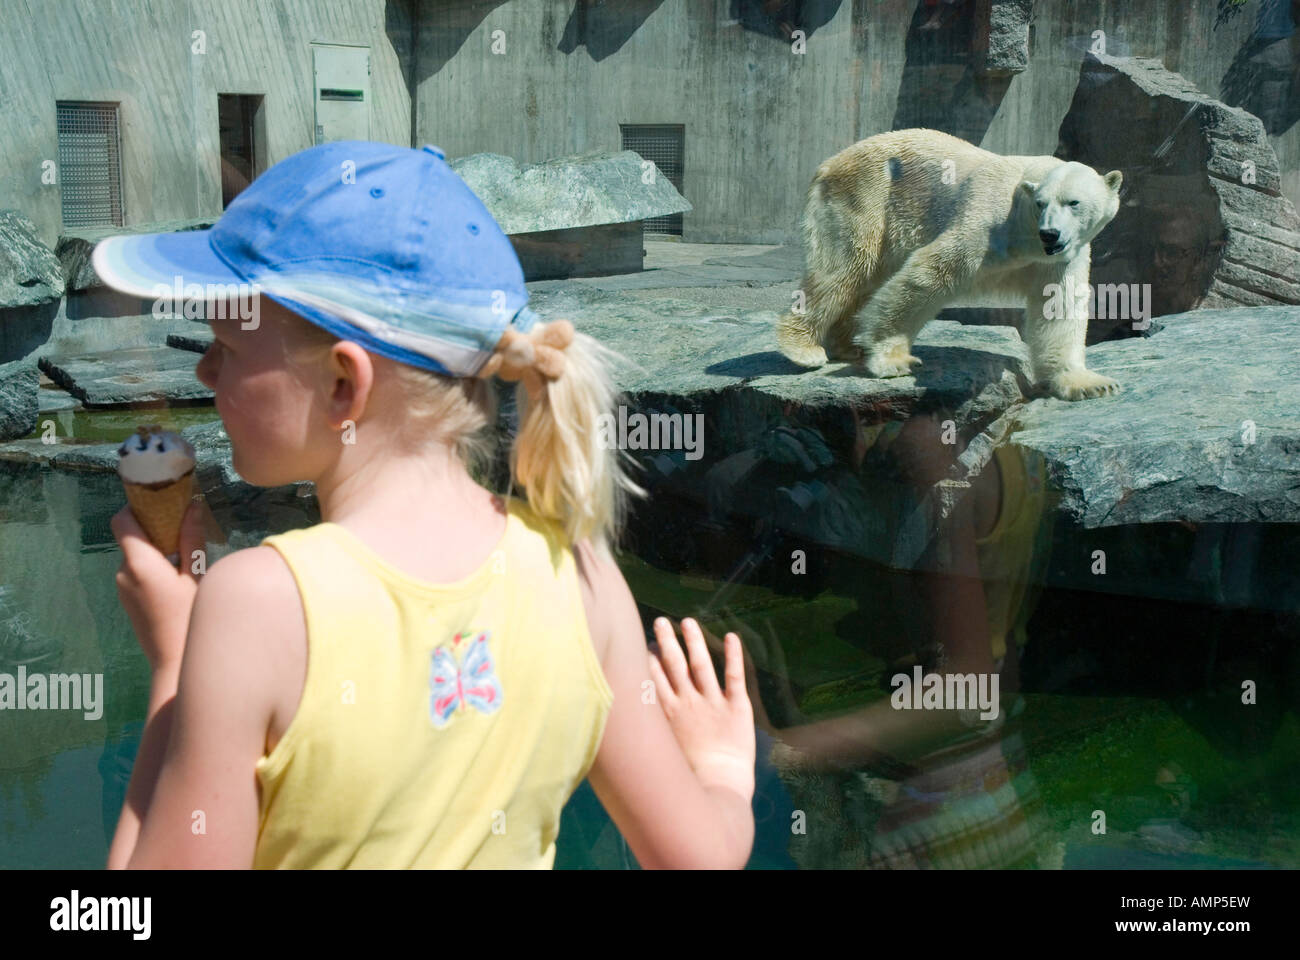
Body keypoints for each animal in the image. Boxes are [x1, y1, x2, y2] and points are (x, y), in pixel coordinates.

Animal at [774, 128, 1123, 398]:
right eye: (1041, 204)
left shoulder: (1060, 257)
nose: (1050, 233)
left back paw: (847, 346)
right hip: (865, 198)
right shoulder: (986, 224)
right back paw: (804, 349)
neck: (1025, 234)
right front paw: (894, 359)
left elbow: (1057, 306)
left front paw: (1089, 384)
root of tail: (828, 163)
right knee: (842, 270)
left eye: (1073, 202)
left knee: (864, 280)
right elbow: (927, 275)